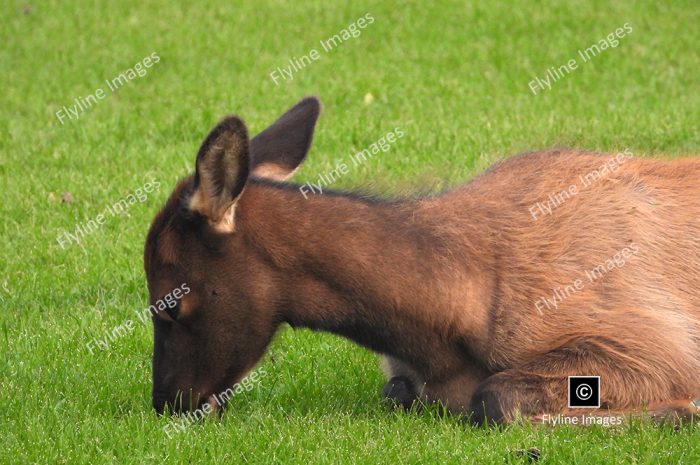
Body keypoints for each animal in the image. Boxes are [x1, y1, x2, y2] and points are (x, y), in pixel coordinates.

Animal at [145, 98, 700, 424]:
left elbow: (495, 398)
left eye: (170, 304)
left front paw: (680, 409)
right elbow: (400, 391)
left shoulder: (659, 346)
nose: (168, 401)